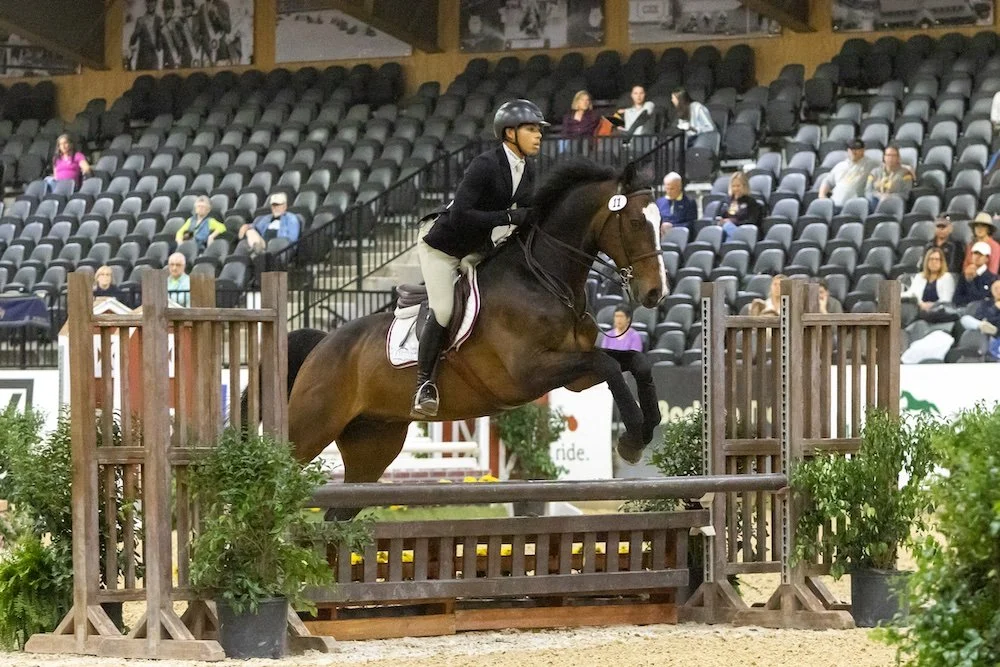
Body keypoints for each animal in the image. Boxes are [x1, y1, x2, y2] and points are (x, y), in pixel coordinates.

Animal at [283, 159, 668, 491]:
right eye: (636, 223)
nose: (655, 293)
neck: (544, 280)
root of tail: (322, 343)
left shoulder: (575, 376)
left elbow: (634, 363)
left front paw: (646, 429)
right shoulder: (528, 372)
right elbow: (608, 364)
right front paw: (632, 438)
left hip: (372, 443)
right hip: (308, 429)